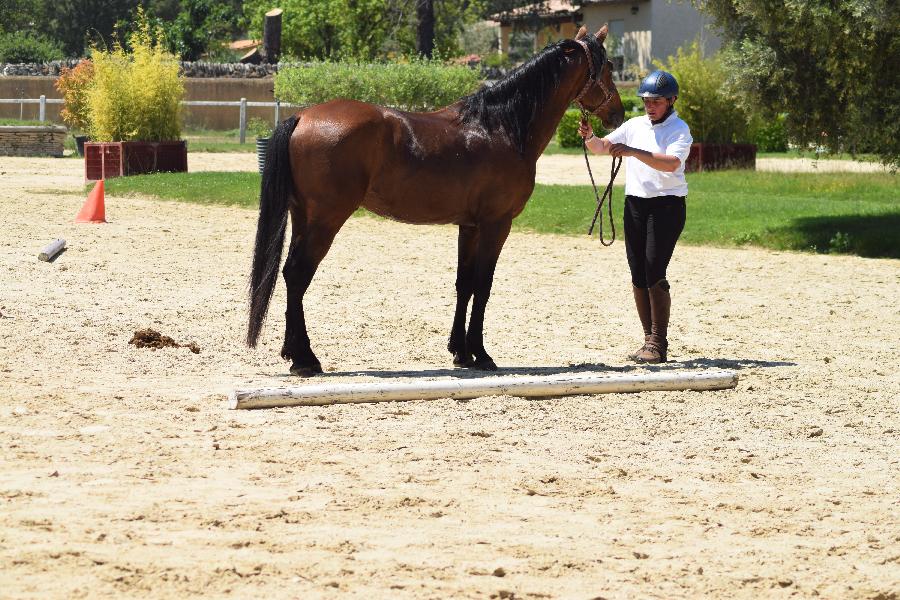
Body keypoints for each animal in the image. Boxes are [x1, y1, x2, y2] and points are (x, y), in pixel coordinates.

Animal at [246, 27, 624, 380]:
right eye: (608, 66)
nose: (618, 114)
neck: (501, 127)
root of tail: (303, 117)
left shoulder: (469, 226)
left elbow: (464, 283)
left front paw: (461, 353)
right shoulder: (496, 224)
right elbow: (483, 285)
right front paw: (481, 355)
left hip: (303, 217)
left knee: (289, 275)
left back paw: (293, 353)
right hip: (326, 220)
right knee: (298, 274)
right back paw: (306, 360)